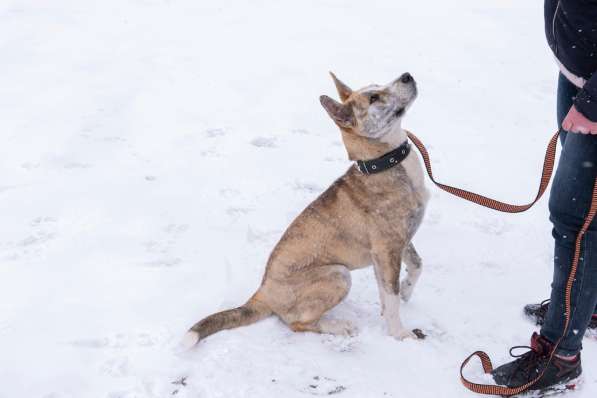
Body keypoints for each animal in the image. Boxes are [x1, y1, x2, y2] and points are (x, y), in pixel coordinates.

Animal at [183, 72, 428, 348]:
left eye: (377, 85)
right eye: (374, 98)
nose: (407, 76)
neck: (382, 163)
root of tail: (262, 293)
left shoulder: (400, 242)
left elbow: (415, 267)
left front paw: (405, 290)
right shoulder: (387, 249)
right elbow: (391, 295)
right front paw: (399, 333)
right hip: (338, 274)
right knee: (297, 323)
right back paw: (337, 326)